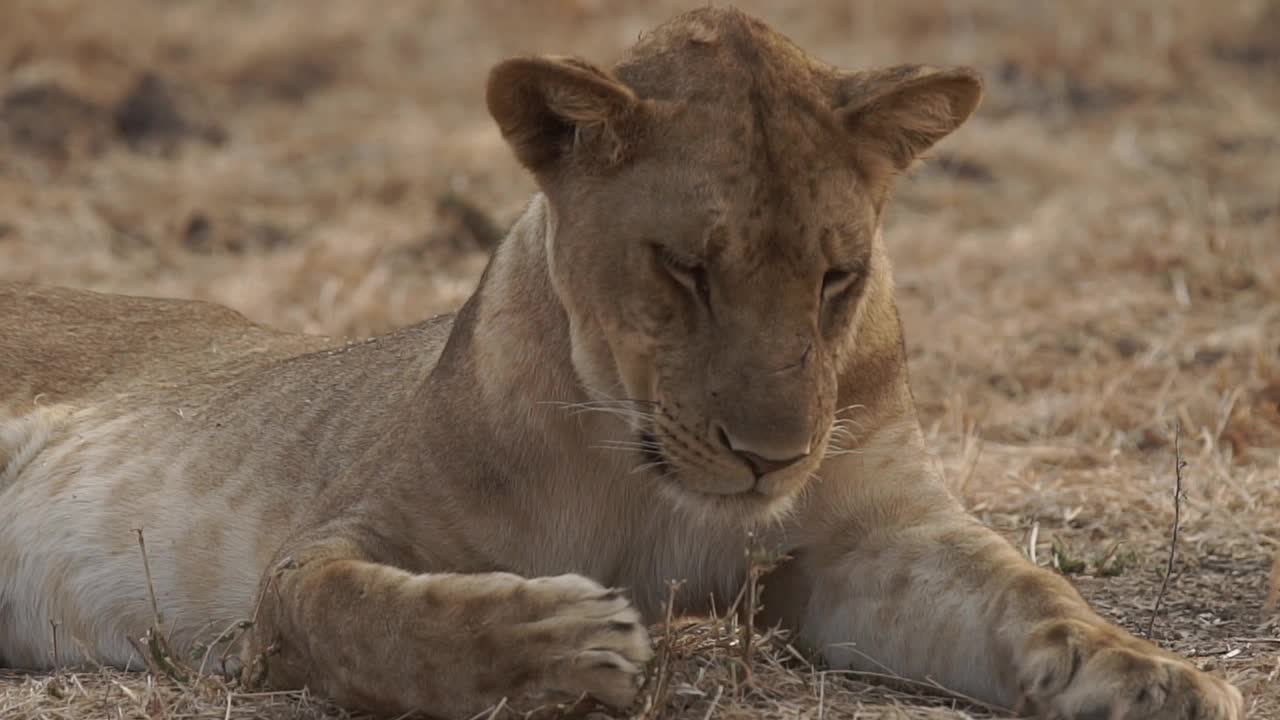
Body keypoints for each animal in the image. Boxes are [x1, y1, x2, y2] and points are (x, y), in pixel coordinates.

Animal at [0, 7, 1239, 717]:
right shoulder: (331, 548)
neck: (645, 471)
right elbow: (365, 617)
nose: (768, 458)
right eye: (684, 268)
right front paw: (566, 638)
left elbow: (1027, 592)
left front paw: (1150, 677)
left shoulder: (868, 544)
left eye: (837, 276)